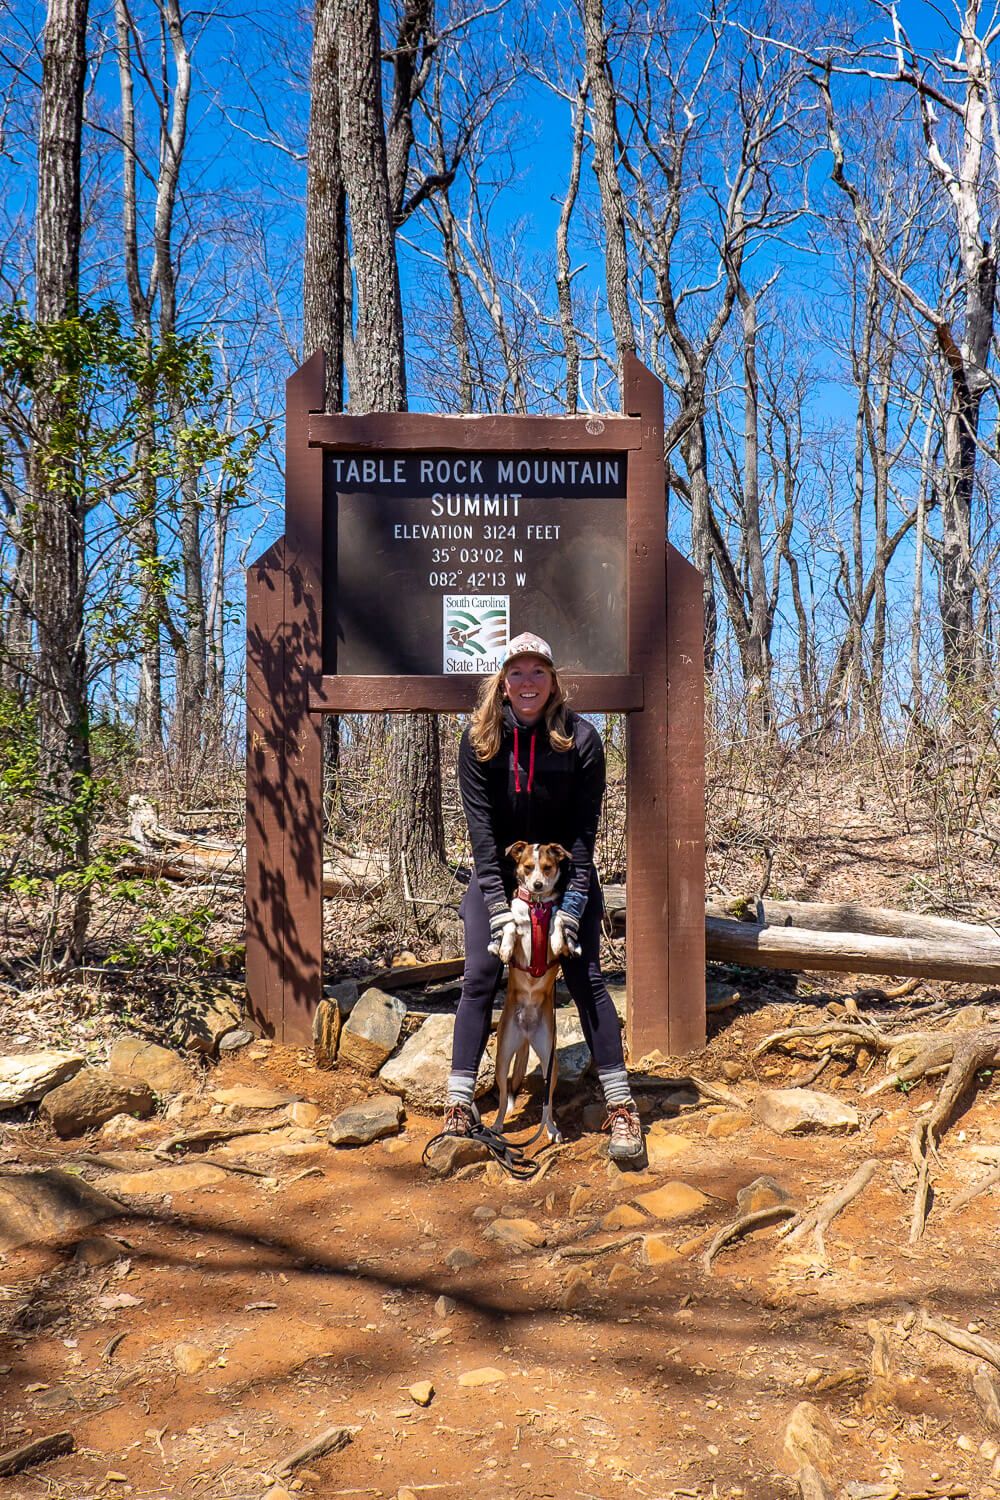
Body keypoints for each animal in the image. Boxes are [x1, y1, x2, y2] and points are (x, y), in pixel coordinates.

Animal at [494, 840, 578, 1140]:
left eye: (548, 867)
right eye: (528, 867)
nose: (538, 884)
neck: (538, 906)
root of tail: (527, 1033)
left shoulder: (554, 914)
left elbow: (559, 921)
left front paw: (557, 942)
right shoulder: (514, 919)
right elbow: (509, 924)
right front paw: (505, 948)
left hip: (549, 1063)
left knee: (547, 1104)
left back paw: (551, 1129)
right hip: (503, 1057)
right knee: (503, 1095)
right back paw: (496, 1126)